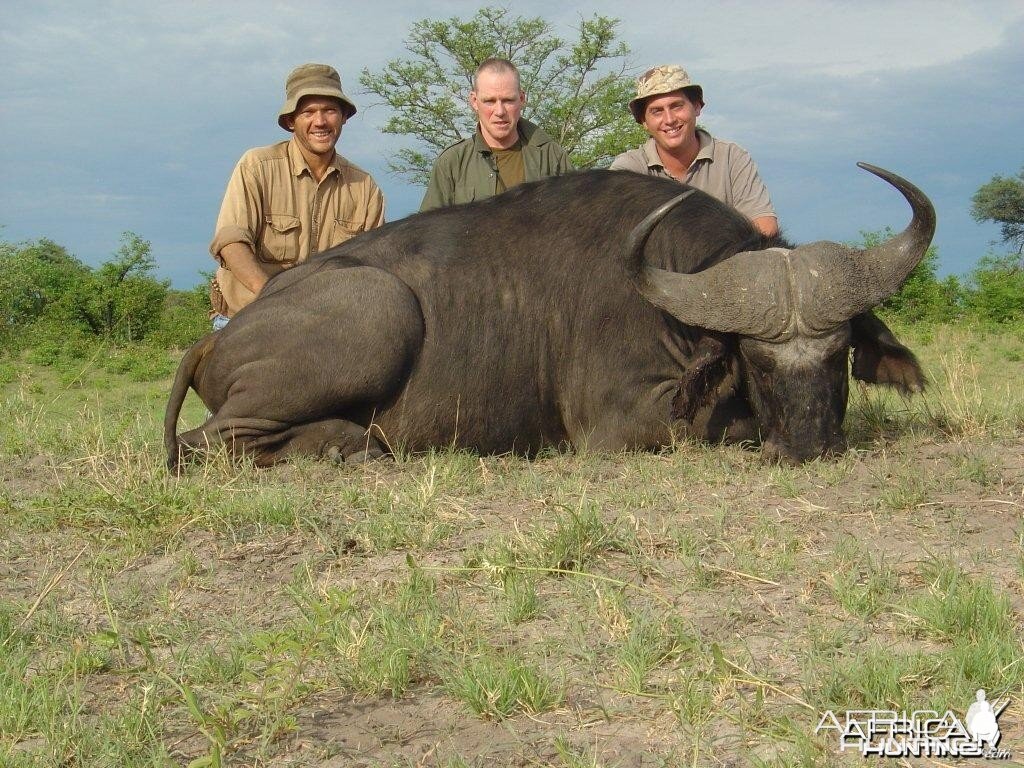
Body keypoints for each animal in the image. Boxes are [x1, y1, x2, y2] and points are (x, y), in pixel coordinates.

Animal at [165, 163, 937, 468]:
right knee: (210, 442)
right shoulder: (621, 425)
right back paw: (347, 444)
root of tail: (217, 341)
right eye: (754, 359)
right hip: (381, 311)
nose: (810, 443)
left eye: (839, 352)